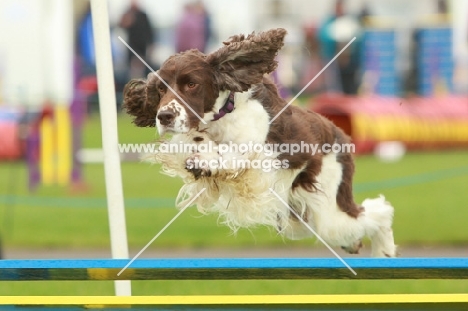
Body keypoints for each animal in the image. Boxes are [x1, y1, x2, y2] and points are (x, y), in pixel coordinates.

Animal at [122, 28, 396, 258]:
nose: (164, 116)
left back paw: (384, 250)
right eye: (160, 89)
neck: (223, 114)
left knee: (376, 211)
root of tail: (341, 136)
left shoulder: (257, 154)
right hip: (297, 216)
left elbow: (230, 155)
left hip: (326, 205)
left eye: (191, 84)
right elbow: (193, 142)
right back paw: (356, 245)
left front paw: (204, 159)